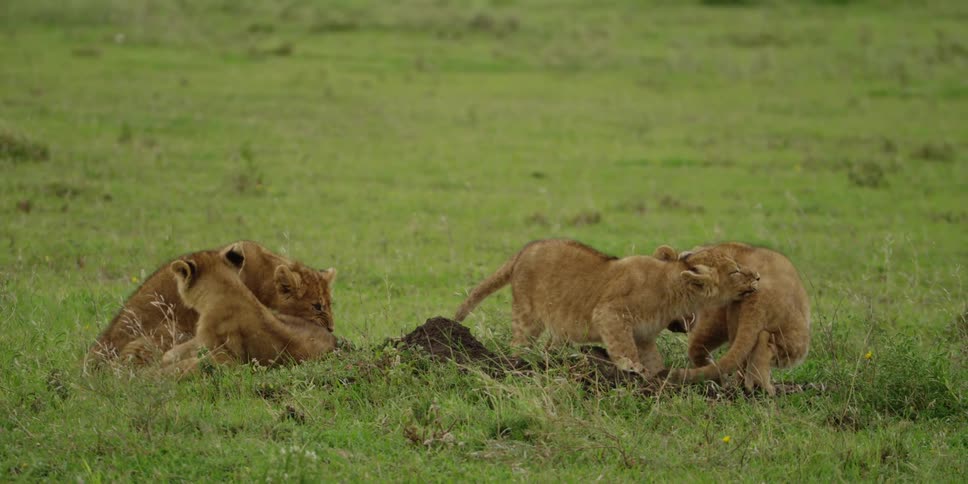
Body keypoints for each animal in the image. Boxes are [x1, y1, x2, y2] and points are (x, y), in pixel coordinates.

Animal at [453, 239, 760, 376]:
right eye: (735, 271)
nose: (757, 276)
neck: (671, 288)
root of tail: (524, 250)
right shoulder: (610, 314)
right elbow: (624, 349)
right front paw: (632, 370)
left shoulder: (644, 336)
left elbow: (653, 359)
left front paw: (657, 379)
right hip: (527, 317)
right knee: (519, 345)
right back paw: (517, 363)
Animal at [659, 242, 810, 395]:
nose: (673, 326)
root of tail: (759, 295)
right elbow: (697, 348)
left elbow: (697, 349)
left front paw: (717, 380)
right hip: (798, 339)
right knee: (765, 343)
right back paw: (762, 388)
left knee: (744, 357)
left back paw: (745, 387)